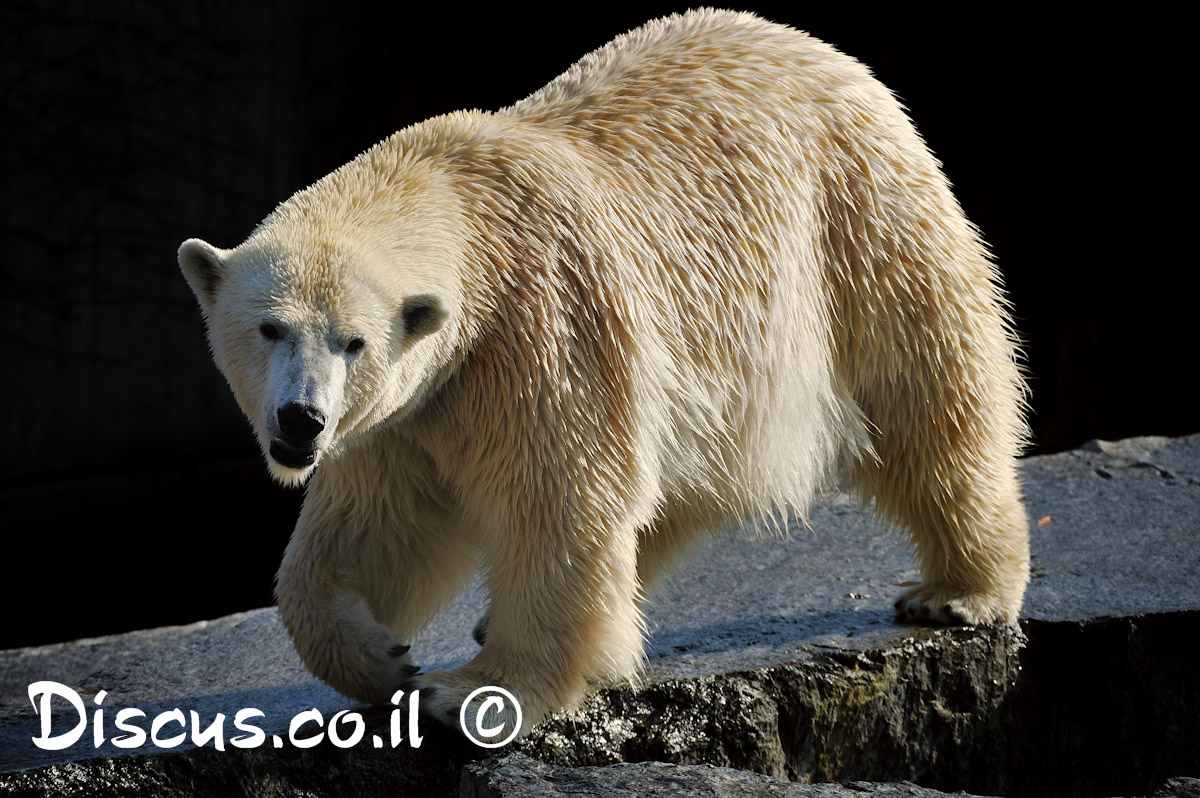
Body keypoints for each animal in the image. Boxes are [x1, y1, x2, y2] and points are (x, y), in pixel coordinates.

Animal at [177, 10, 1032, 734]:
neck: (466, 202)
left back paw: (959, 590)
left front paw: (473, 693)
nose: (301, 419)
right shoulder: (414, 406)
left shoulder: (538, 328)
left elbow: (557, 498)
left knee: (929, 397)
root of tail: (817, 49)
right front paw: (381, 657)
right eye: (270, 327)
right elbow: (376, 521)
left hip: (860, 225)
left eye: (352, 341)